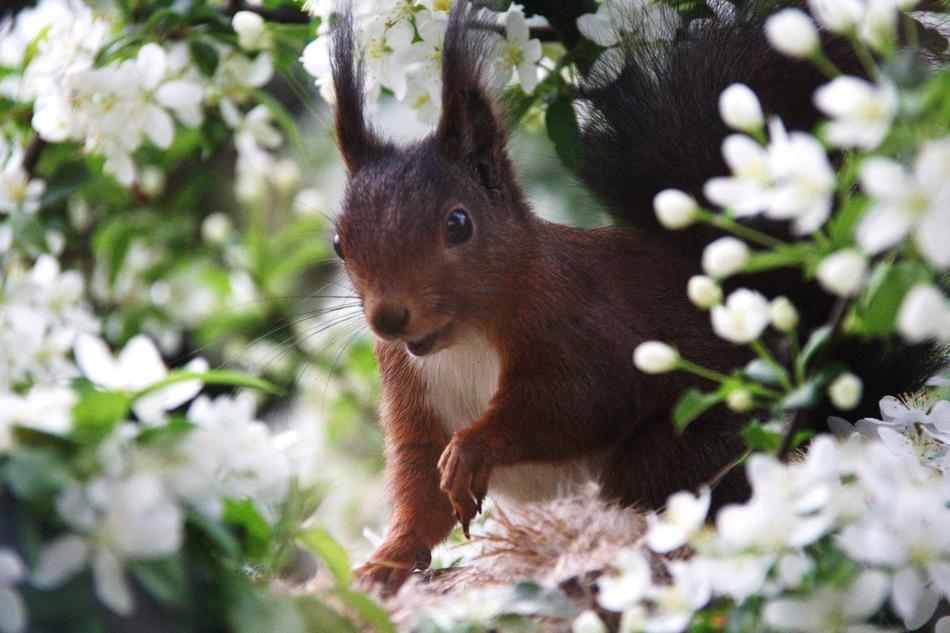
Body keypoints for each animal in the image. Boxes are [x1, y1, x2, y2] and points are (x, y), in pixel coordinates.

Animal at [327, 2, 940, 595]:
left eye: (458, 224)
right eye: (338, 243)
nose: (388, 318)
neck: (466, 339)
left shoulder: (576, 324)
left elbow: (574, 403)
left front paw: (471, 451)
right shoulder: (408, 385)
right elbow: (419, 487)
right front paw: (387, 562)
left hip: (695, 440)